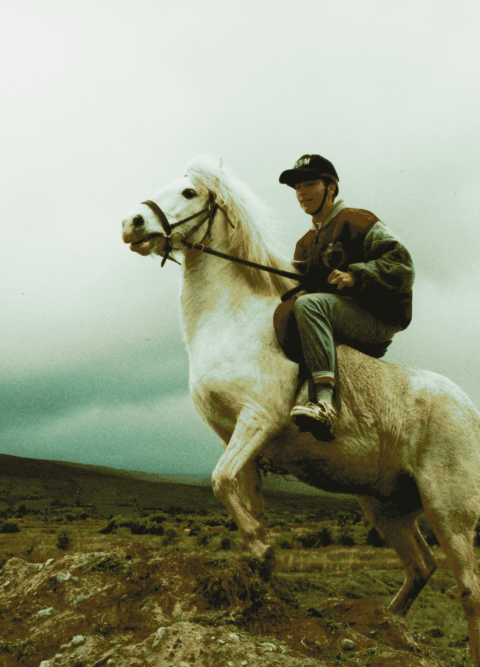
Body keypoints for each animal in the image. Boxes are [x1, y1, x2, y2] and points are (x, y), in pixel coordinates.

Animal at [121, 155, 480, 665]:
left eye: (189, 193)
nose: (132, 224)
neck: (231, 318)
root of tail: (468, 408)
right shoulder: (239, 438)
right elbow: (240, 494)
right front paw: (259, 567)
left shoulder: (258, 420)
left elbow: (220, 480)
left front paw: (262, 548)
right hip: (386, 507)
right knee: (421, 566)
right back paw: (386, 626)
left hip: (449, 510)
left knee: (468, 589)